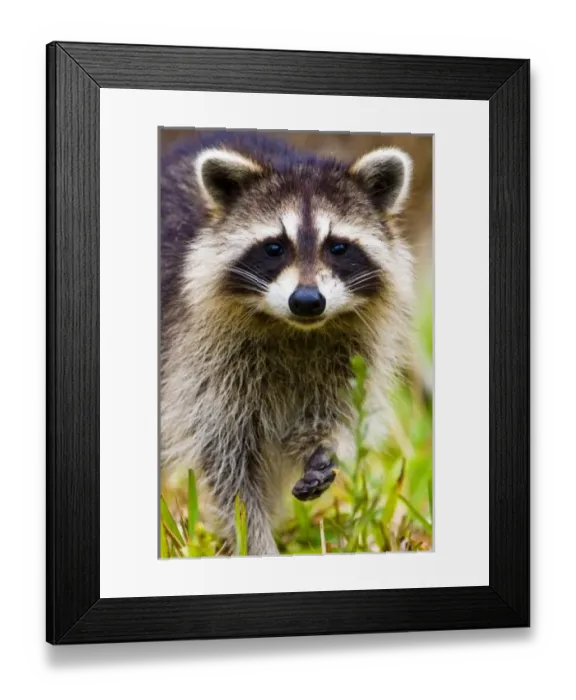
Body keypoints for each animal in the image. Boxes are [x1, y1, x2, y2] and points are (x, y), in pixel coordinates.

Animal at [160, 131, 415, 556]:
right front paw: (256, 543)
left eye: (338, 247)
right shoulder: (201, 358)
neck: (297, 330)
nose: (307, 301)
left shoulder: (354, 352)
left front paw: (326, 445)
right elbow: (229, 465)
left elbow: (339, 410)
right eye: (274, 247)